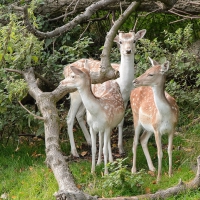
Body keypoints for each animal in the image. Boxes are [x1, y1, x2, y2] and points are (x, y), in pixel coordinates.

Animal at [63, 29, 146, 158]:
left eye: (134, 41)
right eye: (120, 42)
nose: (128, 50)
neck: (124, 83)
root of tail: (65, 68)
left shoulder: (125, 98)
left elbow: (121, 122)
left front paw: (121, 149)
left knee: (79, 115)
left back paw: (90, 141)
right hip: (74, 94)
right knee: (70, 117)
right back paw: (75, 152)